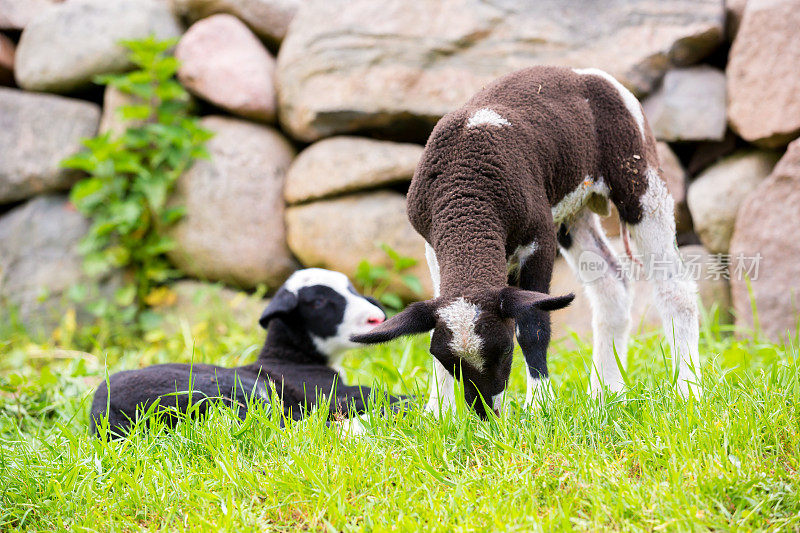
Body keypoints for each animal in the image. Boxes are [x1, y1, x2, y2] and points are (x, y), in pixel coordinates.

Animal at [90, 268, 410, 438]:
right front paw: (406, 401)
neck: (290, 357)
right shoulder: (324, 390)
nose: (377, 318)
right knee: (281, 425)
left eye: (351, 289)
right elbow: (368, 393)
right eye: (318, 302)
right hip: (236, 390)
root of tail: (107, 413)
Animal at [354, 65, 700, 416]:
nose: (485, 414)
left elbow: (534, 325)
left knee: (676, 288)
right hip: (572, 211)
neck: (468, 197)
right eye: (447, 361)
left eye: (506, 351)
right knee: (611, 287)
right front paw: (439, 412)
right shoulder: (433, 247)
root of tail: (581, 72)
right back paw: (605, 394)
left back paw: (688, 390)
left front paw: (540, 405)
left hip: (639, 177)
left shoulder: (539, 238)